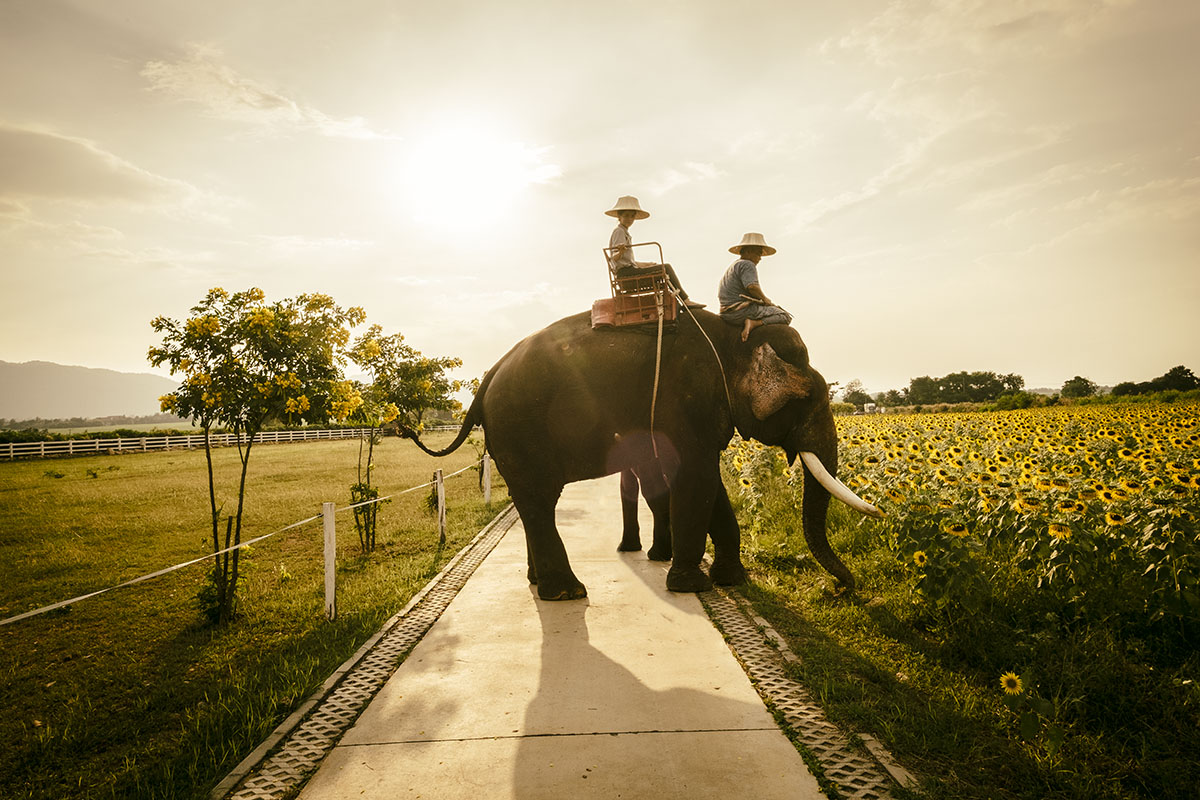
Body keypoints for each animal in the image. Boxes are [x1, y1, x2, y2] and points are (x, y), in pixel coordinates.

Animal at [403, 308, 881, 600]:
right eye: (809, 399)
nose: (844, 589)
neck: (731, 338)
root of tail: (488, 379)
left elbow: (710, 483)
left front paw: (731, 579)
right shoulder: (687, 399)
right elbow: (696, 477)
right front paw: (693, 587)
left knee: (534, 501)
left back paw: (542, 584)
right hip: (521, 429)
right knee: (539, 500)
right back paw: (568, 593)